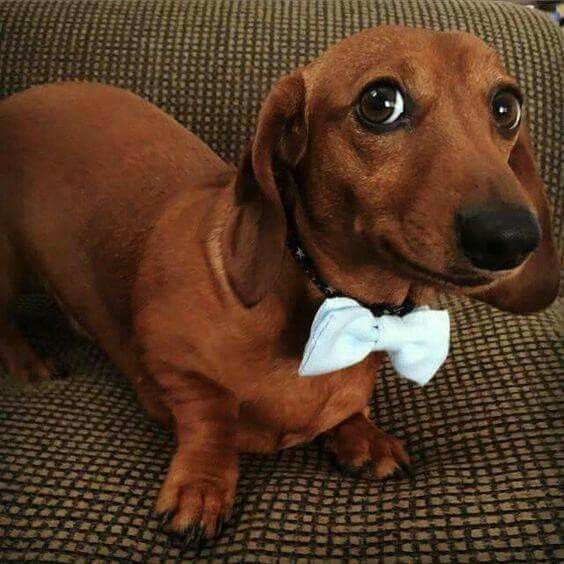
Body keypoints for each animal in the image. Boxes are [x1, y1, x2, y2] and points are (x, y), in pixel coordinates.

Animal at [0, 25, 556, 540]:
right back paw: (28, 363)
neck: (349, 308)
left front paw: (360, 434)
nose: (511, 236)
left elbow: (348, 407)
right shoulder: (168, 361)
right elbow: (210, 414)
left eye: (506, 106)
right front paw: (202, 485)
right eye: (381, 102)